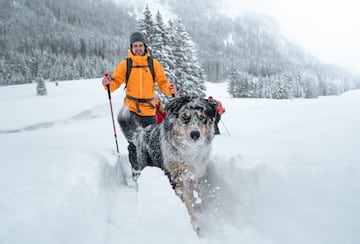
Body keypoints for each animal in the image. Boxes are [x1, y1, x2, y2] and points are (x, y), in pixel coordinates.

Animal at [118, 96, 217, 231]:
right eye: (184, 117)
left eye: (202, 117)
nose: (195, 134)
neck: (188, 151)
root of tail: (142, 132)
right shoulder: (175, 177)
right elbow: (185, 202)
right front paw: (194, 223)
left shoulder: (195, 174)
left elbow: (195, 194)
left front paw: (199, 209)